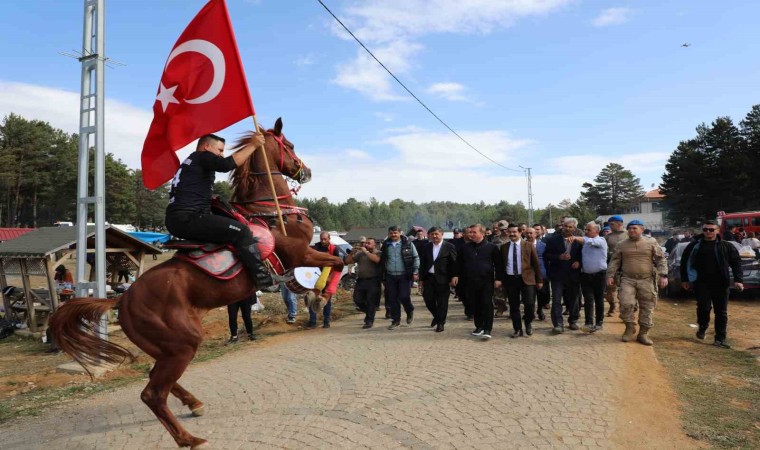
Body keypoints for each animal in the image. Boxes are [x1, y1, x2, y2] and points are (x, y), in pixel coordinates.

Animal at [48, 118, 342, 448]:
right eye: (289, 145)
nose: (306, 171)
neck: (271, 212)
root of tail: (122, 299)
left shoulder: (301, 257)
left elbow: (335, 263)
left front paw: (313, 294)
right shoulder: (300, 253)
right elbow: (338, 262)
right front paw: (319, 295)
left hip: (166, 347)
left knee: (154, 376)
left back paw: (194, 404)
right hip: (182, 344)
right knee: (153, 393)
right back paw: (188, 438)